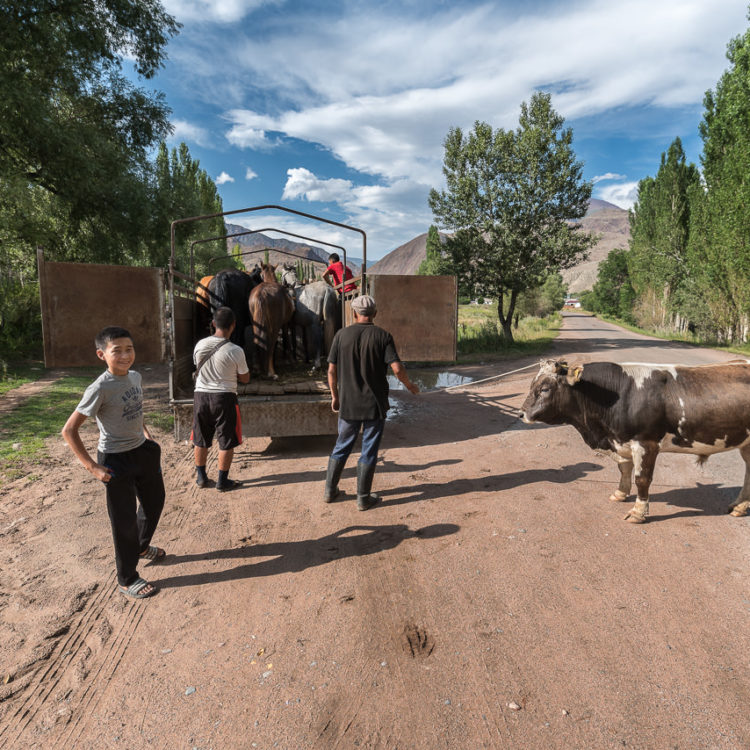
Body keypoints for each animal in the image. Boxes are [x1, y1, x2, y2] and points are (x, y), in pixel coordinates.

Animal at [520, 362, 750, 524]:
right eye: (532, 384)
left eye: (545, 388)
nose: (522, 413)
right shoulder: (620, 441)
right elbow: (624, 469)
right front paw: (620, 494)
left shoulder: (646, 443)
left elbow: (642, 479)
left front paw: (638, 513)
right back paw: (739, 506)